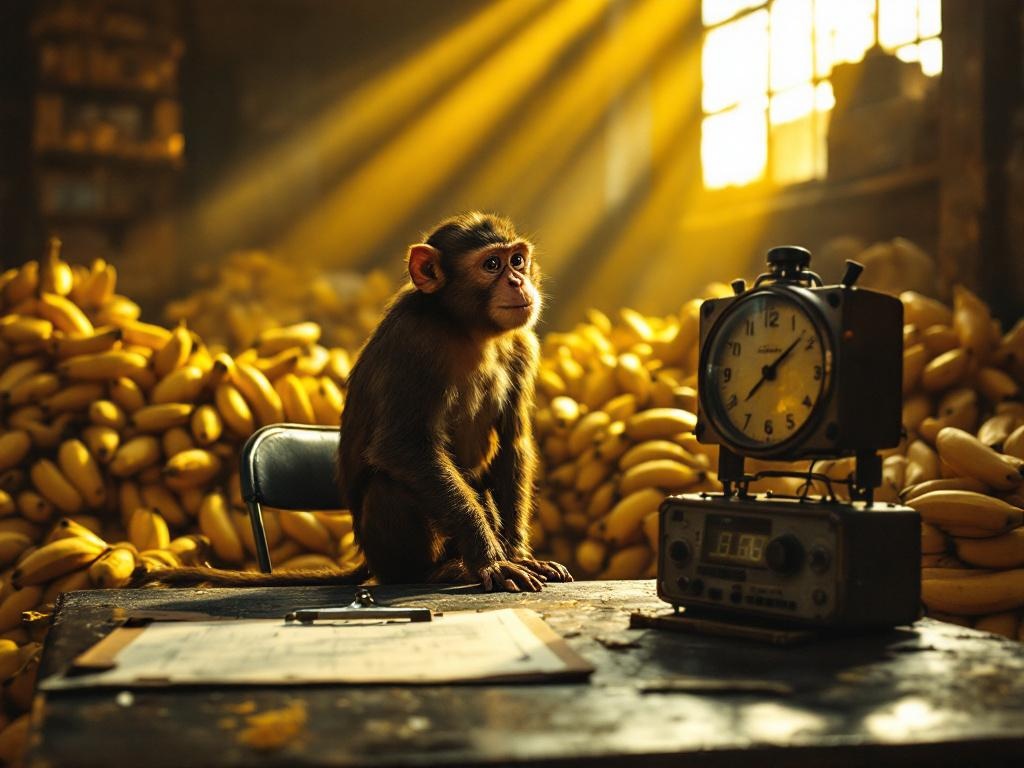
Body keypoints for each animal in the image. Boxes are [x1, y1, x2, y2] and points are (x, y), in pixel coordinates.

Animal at [134, 212, 572, 593]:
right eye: (492, 264)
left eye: (517, 260)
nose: (517, 281)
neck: (467, 330)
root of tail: (366, 560)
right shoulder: (415, 341)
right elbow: (401, 447)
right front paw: (491, 560)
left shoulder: (522, 346)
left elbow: (512, 444)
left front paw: (517, 553)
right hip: (384, 552)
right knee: (390, 486)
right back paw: (433, 571)